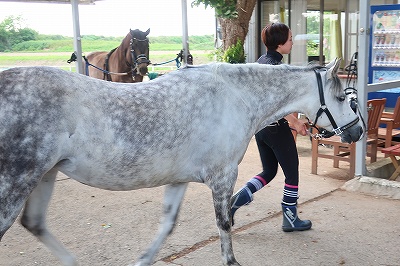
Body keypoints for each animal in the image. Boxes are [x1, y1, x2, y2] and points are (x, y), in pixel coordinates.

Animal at [0, 58, 362, 266]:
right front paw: (231, 261)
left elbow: (167, 225)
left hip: (44, 175)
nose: (357, 131)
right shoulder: (222, 176)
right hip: (17, 181)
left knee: (35, 223)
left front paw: (143, 260)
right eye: (342, 97)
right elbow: (223, 224)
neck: (236, 97)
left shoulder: (178, 180)